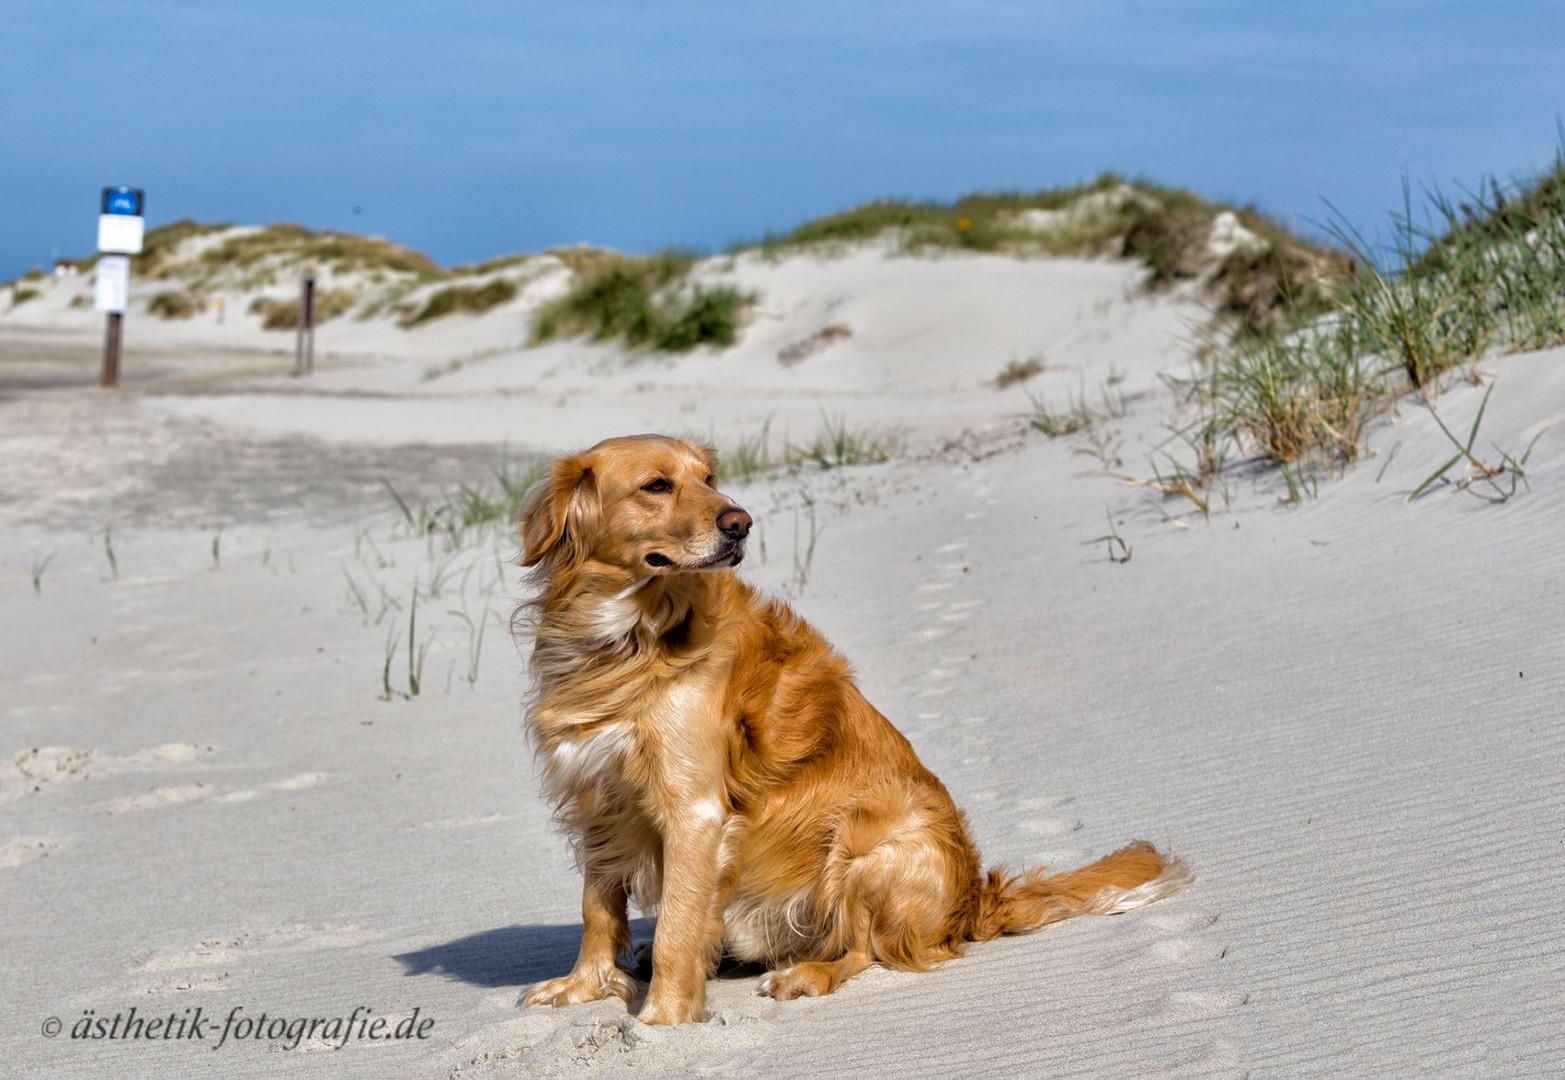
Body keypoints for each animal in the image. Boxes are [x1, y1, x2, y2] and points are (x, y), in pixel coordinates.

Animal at [519, 432, 1189, 1020]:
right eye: (656, 485)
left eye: (708, 478)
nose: (740, 522)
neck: (629, 637)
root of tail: (975, 899)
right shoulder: (597, 794)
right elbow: (597, 907)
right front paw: (583, 987)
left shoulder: (694, 810)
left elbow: (678, 932)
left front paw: (661, 1023)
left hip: (868, 838)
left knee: (869, 948)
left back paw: (806, 974)